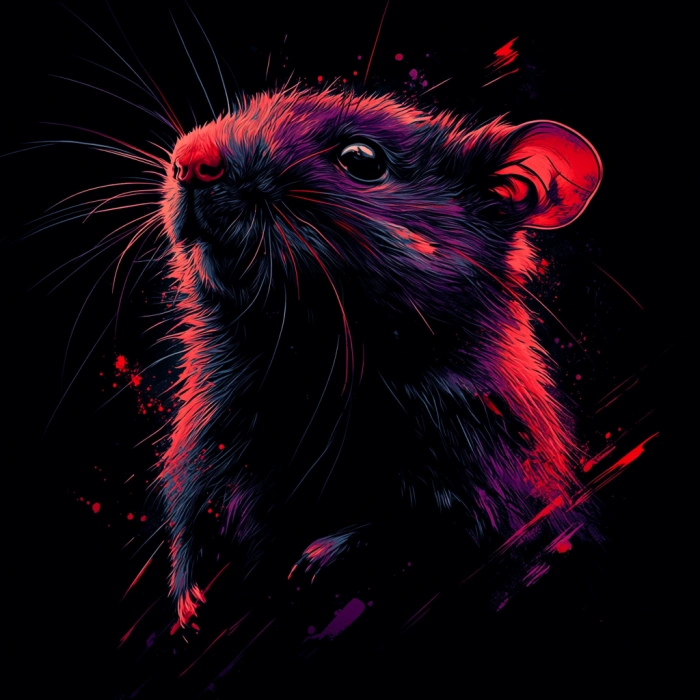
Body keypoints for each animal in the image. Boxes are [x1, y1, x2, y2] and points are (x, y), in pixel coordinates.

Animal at [156, 86, 602, 627]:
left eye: (362, 160)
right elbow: (193, 526)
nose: (189, 161)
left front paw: (315, 561)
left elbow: (417, 528)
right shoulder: (201, 456)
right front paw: (190, 606)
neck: (301, 364)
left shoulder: (481, 471)